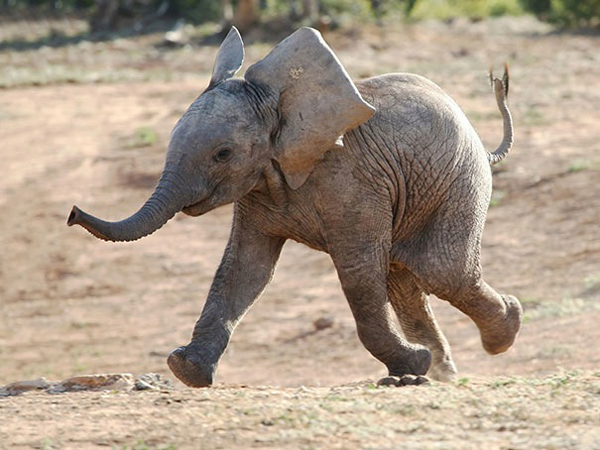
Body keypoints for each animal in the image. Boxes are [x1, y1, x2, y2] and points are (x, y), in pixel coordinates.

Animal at [69, 27, 520, 386]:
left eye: (223, 154)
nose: (72, 214)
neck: (279, 106)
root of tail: (482, 143)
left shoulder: (352, 182)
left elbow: (358, 273)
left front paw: (413, 365)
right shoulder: (258, 189)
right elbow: (244, 269)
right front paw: (186, 370)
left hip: (459, 181)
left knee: (441, 271)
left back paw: (502, 332)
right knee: (406, 279)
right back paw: (442, 372)